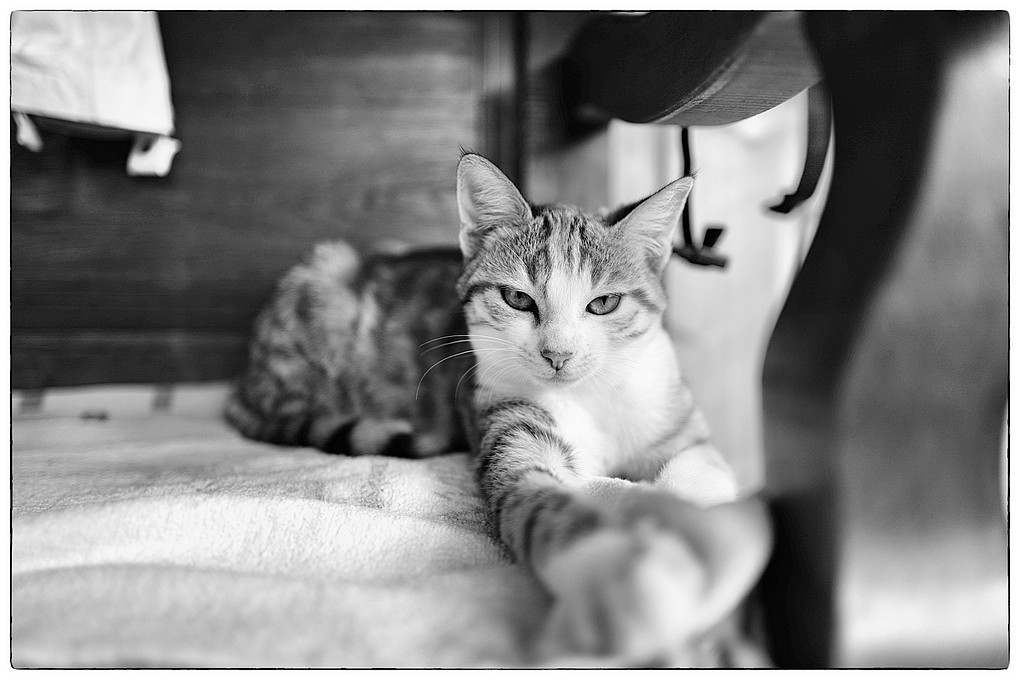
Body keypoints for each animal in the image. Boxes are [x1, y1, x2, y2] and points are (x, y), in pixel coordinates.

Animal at [226, 152, 761, 665]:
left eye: (604, 303)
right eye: (517, 298)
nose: (557, 355)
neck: (590, 395)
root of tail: (246, 383)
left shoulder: (680, 422)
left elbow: (699, 471)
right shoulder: (506, 420)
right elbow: (544, 495)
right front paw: (620, 581)